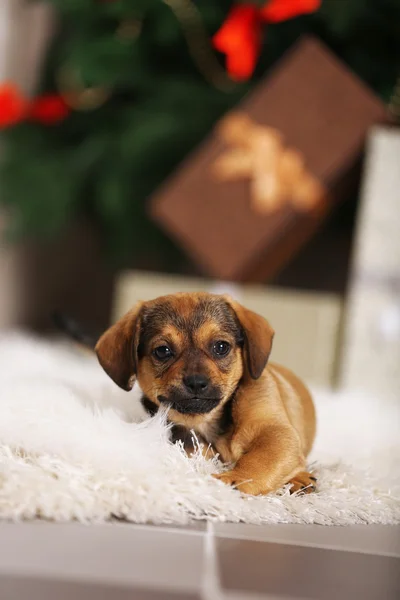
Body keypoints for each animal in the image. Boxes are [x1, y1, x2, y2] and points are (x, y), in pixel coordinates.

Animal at [94, 292, 316, 494]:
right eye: (162, 351)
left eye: (221, 347)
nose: (196, 382)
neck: (207, 421)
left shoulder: (276, 433)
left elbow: (258, 461)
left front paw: (234, 479)